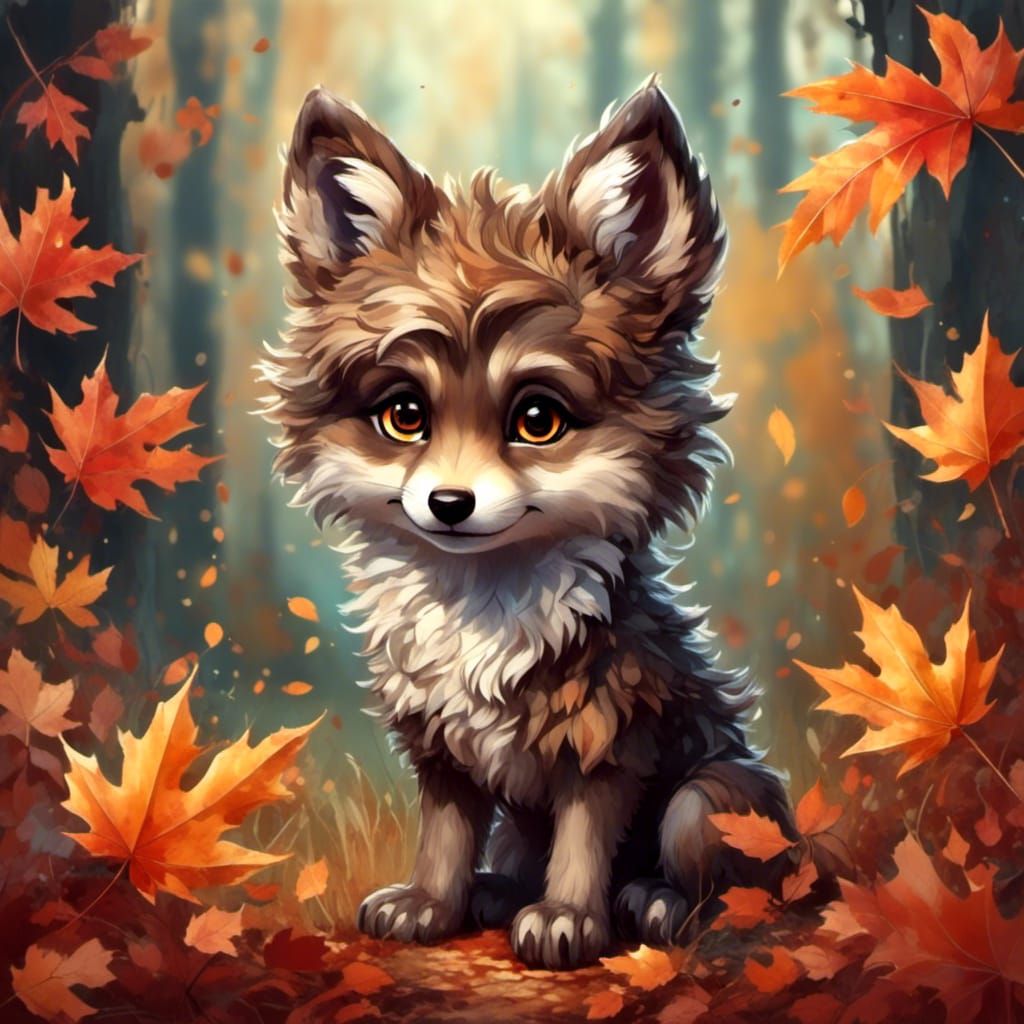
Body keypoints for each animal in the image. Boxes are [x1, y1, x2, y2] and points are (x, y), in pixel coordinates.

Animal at [262, 76, 797, 969]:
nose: (449, 504)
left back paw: (649, 902)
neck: (483, 604)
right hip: (523, 827)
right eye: (405, 416)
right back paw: (496, 893)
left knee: (722, 885)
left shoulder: (610, 731)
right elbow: (446, 835)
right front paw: (430, 904)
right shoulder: (442, 745)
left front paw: (570, 920)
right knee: (513, 853)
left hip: (711, 802)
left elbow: (584, 838)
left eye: (537, 421)